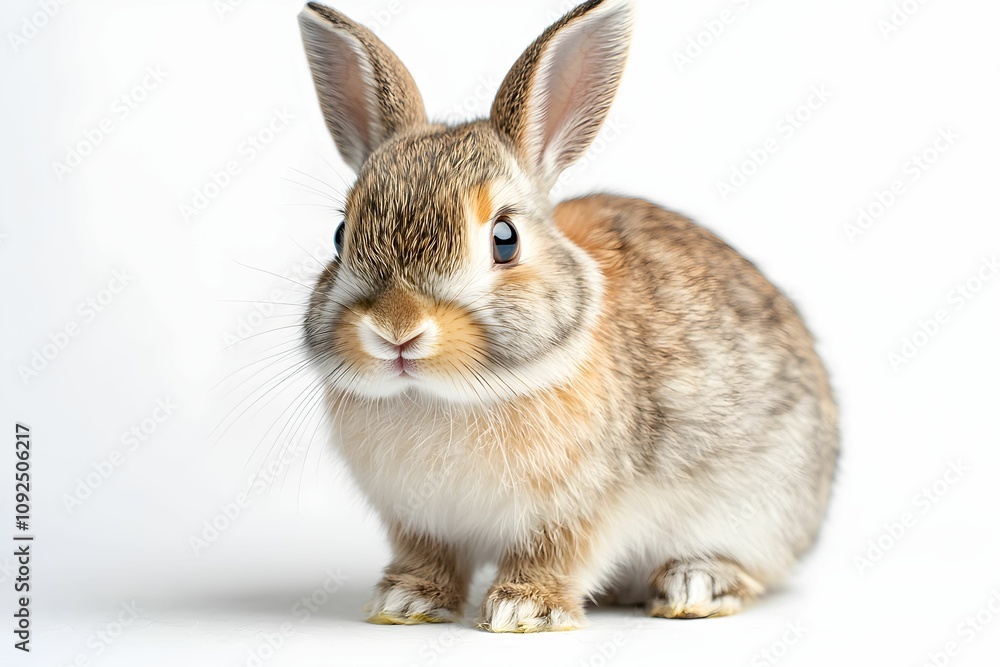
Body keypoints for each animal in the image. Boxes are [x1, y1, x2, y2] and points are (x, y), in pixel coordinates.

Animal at [297, 0, 838, 632]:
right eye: (340, 236)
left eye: (505, 239)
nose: (396, 330)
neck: (441, 396)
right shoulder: (420, 522)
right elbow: (430, 558)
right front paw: (406, 602)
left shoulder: (581, 510)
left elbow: (555, 555)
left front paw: (522, 609)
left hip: (761, 506)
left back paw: (693, 586)